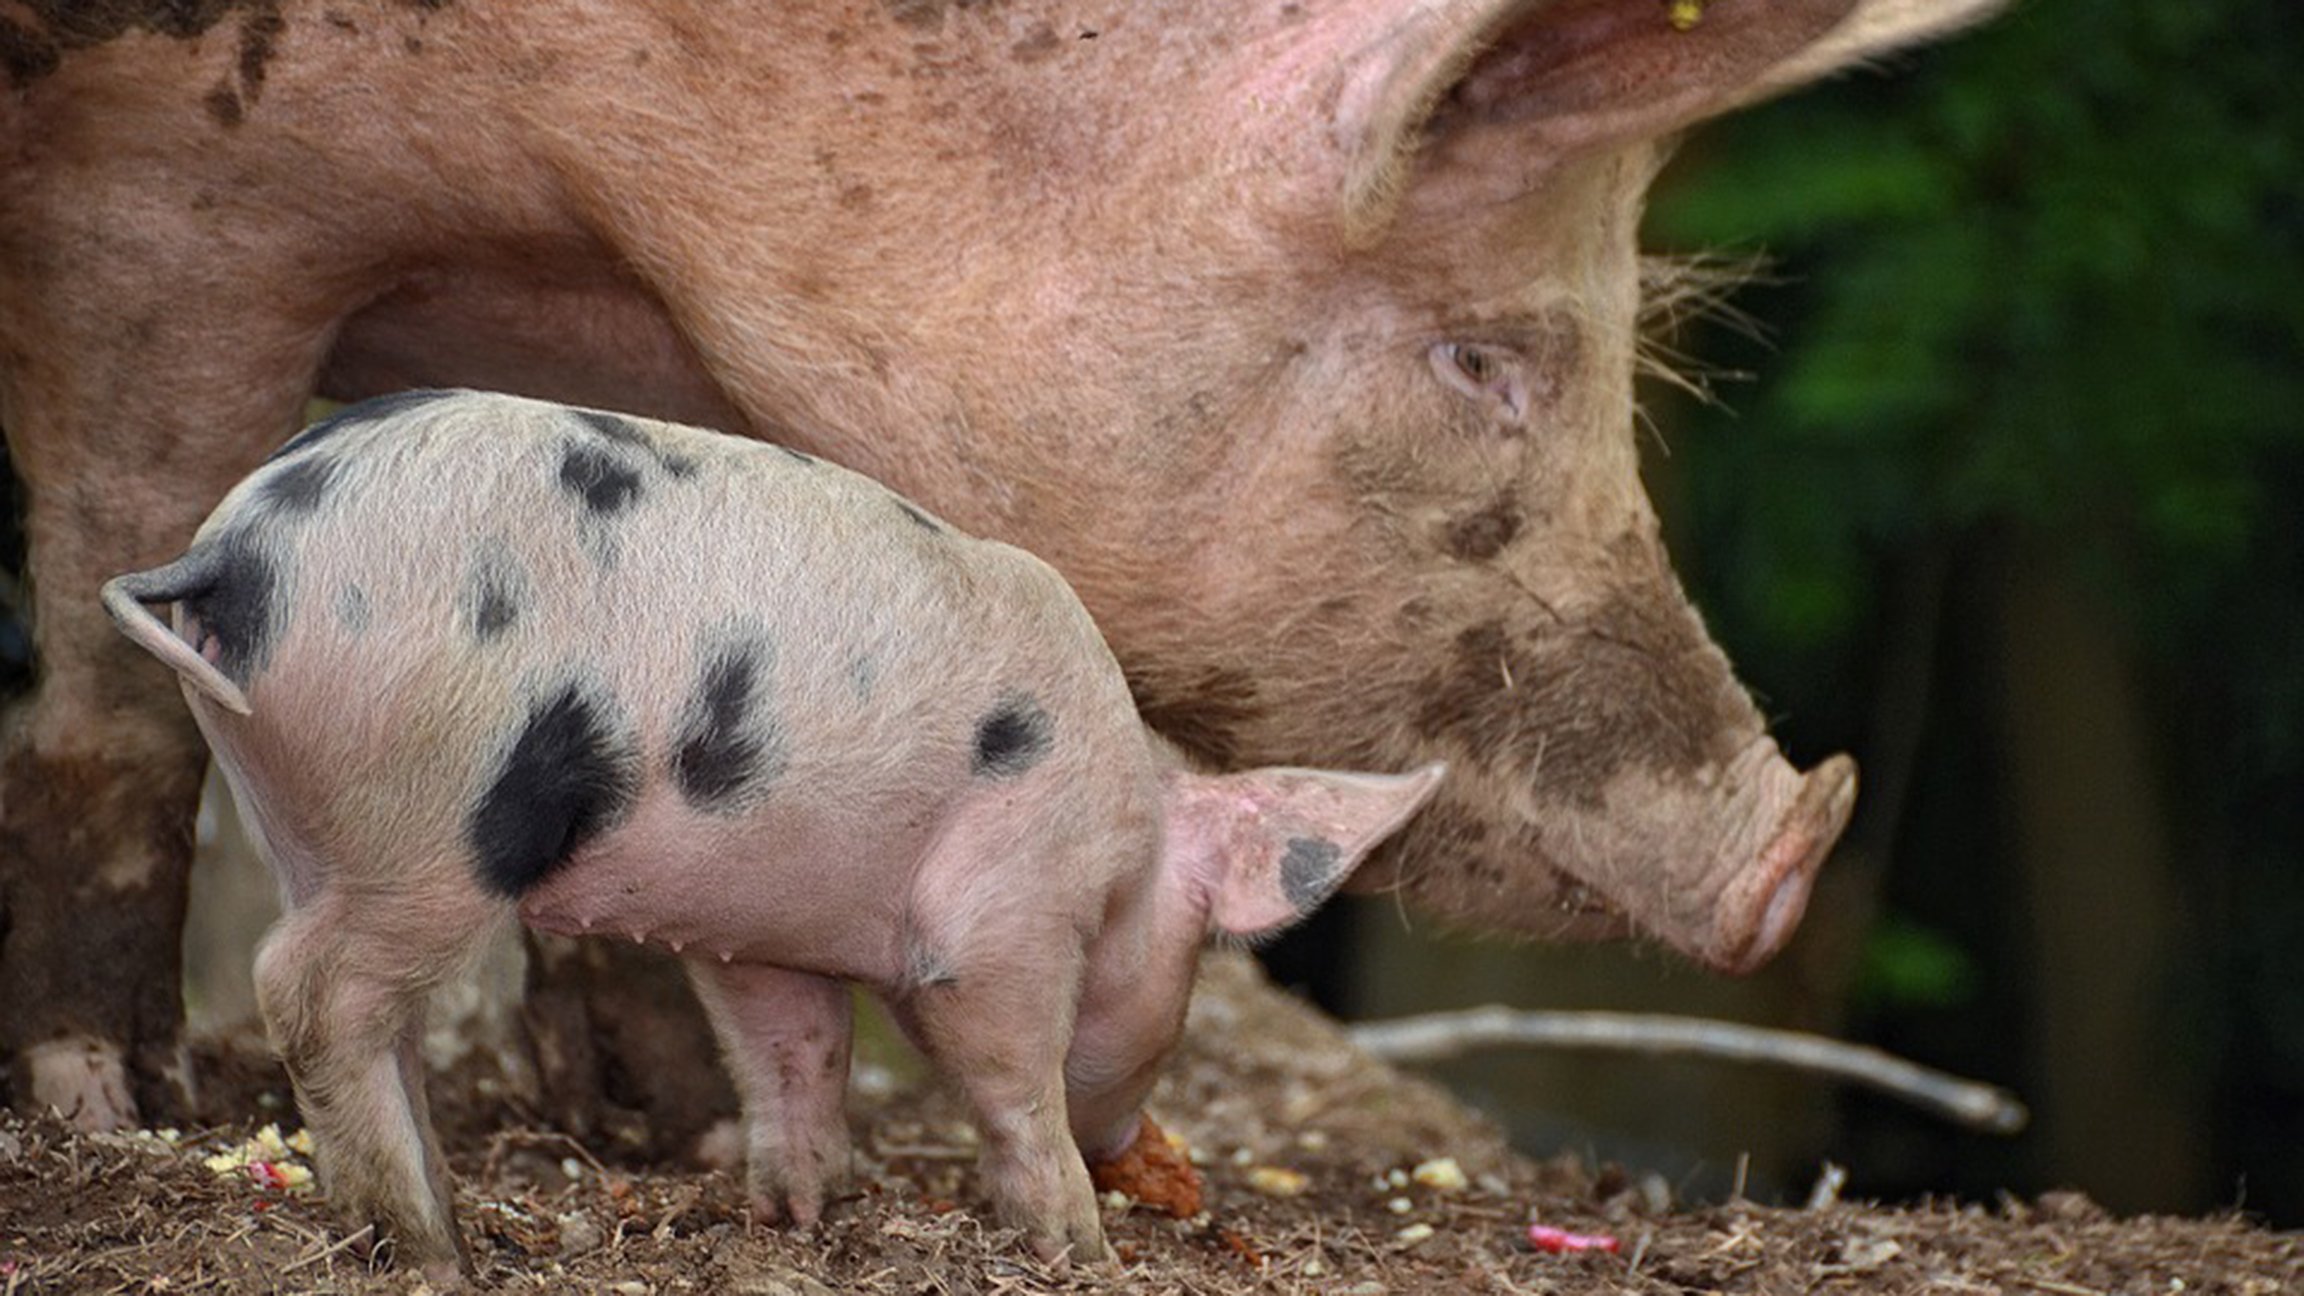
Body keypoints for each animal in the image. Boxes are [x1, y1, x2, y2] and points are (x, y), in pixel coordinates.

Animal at [0, 0, 1999, 1120]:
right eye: (1482, 360)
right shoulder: (170, 200)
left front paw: (679, 1129)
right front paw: (113, 1111)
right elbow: (112, 672)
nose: (1793, 848)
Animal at [108, 385, 1446, 1272]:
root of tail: (236, 549)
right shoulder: (1010, 910)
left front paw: (799, 1218)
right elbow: (1007, 1067)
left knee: (362, 1008)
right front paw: (1080, 1244)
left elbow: (795, 1054)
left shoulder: (764, 931)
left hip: (298, 810)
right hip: (435, 816)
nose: (1136, 1146)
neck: (1130, 838)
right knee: (308, 989)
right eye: (1200, 960)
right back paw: (434, 1246)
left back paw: (437, 1212)